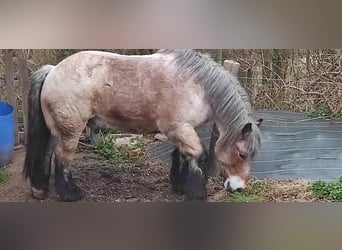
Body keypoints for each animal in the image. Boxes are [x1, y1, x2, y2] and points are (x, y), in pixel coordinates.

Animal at [24, 49, 264, 201]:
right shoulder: (179, 129)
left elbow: (182, 156)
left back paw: (39, 190)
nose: (238, 188)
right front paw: (197, 192)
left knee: (46, 154)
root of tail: (53, 70)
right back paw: (70, 194)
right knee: (62, 159)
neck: (198, 86)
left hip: (56, 130)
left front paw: (180, 186)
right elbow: (199, 156)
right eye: (242, 154)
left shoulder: (183, 130)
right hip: (71, 132)